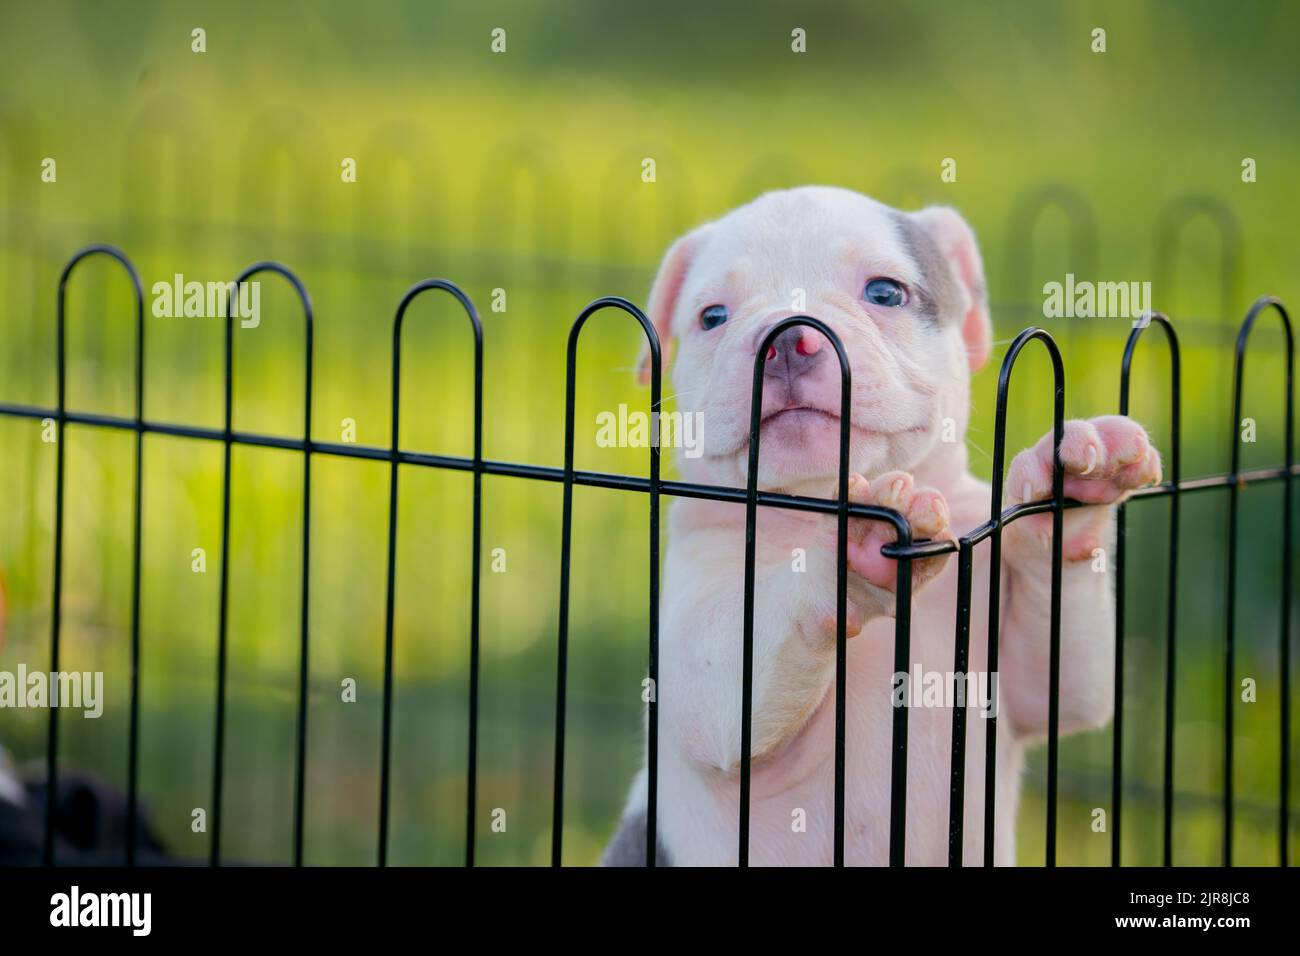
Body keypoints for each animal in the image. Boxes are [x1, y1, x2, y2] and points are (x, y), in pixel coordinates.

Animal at [603, 184, 1164, 868]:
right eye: (712, 317)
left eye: (886, 293)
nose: (788, 342)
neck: (812, 504)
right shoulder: (700, 666)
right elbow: (724, 678)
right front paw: (852, 554)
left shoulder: (1034, 684)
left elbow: (1064, 679)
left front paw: (1075, 483)